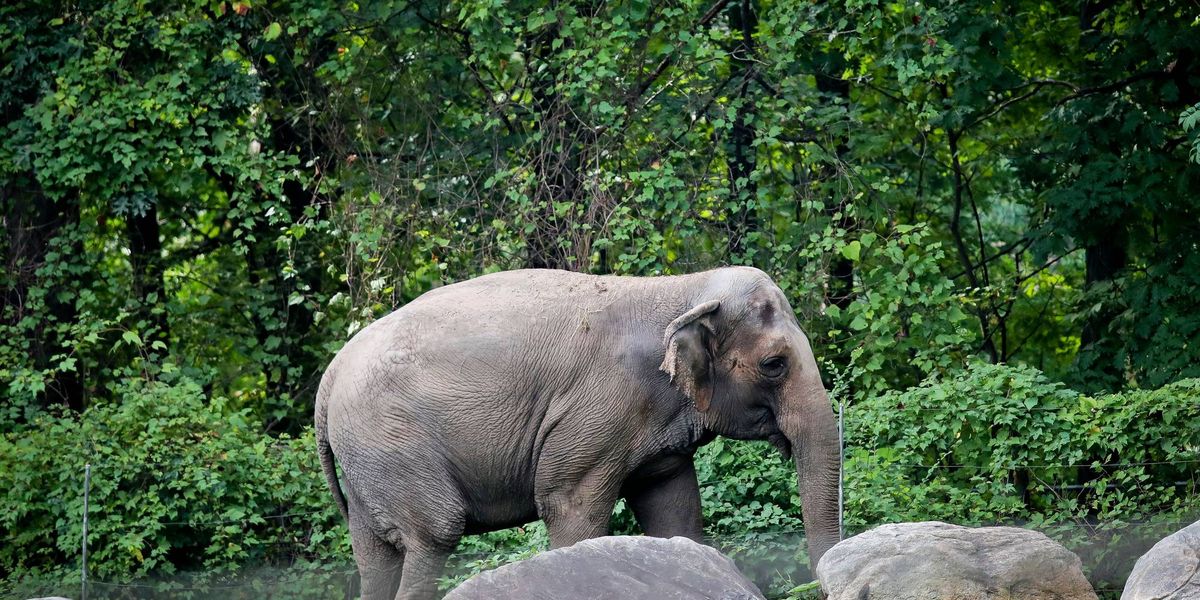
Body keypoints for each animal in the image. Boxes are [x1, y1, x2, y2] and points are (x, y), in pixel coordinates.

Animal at [315, 267, 841, 600]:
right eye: (774, 365)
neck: (681, 289)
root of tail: (329, 379)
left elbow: (674, 511)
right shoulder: (597, 411)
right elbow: (570, 506)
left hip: (368, 463)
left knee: (375, 557)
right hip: (392, 444)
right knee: (433, 536)